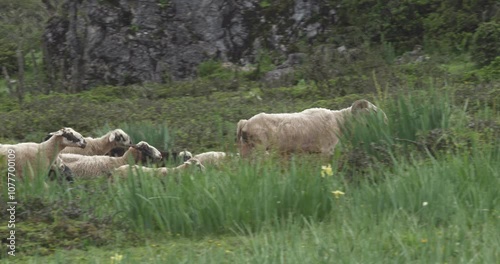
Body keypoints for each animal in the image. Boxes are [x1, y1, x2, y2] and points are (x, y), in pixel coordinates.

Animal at [236, 98, 388, 157]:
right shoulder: (327, 150)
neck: (340, 121)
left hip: (246, 149)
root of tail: (245, 122)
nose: (386, 119)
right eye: (373, 111)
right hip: (259, 148)